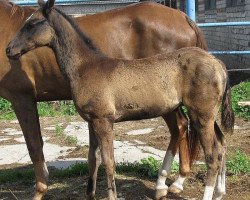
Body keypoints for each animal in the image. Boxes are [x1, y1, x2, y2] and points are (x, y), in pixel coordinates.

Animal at [7, 0, 234, 199]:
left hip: (201, 115)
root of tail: (219, 64)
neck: (86, 67)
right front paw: (90, 194)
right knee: (222, 145)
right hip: (206, 115)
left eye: (33, 23)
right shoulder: (91, 121)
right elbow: (93, 159)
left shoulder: (104, 120)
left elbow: (109, 162)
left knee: (212, 155)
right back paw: (220, 192)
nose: (9, 49)